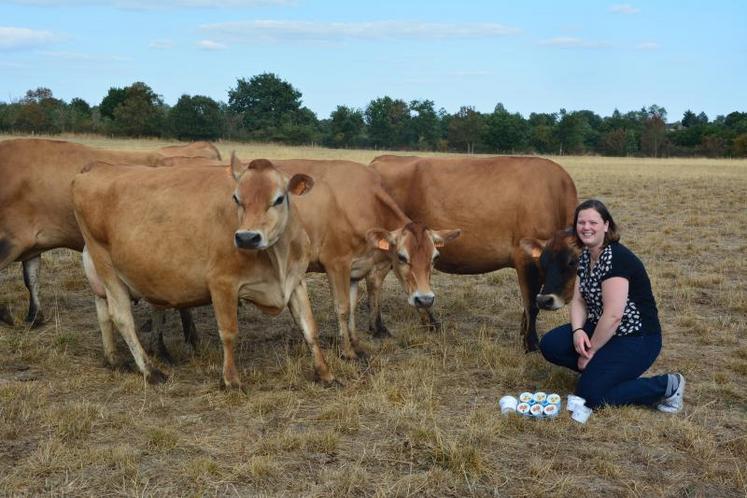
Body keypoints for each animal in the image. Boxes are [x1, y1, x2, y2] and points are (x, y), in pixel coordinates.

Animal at [71, 154, 332, 388]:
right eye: (236, 198)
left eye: (278, 199)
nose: (247, 237)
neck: (278, 257)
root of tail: (98, 167)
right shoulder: (222, 283)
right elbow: (228, 333)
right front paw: (231, 380)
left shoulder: (296, 281)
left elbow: (310, 328)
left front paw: (325, 374)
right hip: (105, 263)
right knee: (121, 316)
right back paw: (150, 371)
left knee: (103, 311)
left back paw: (113, 359)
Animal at [368, 154, 580, 352]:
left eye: (573, 262)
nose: (549, 301)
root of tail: (382, 159)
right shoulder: (525, 259)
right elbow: (532, 305)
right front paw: (531, 343)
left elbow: (530, 305)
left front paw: (524, 331)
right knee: (377, 280)